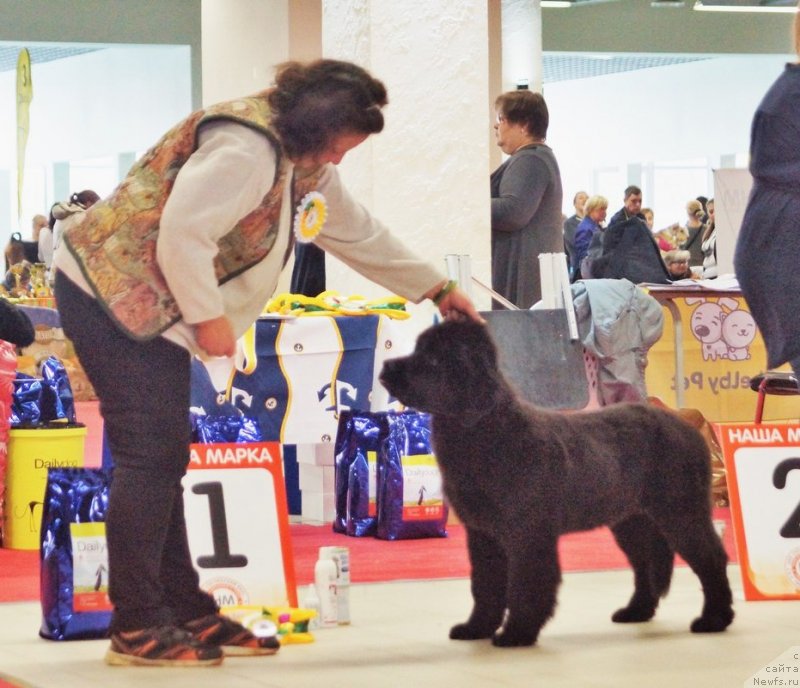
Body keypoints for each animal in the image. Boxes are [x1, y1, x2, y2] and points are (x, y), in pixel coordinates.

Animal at [378, 320, 736, 648]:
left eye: (432, 359)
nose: (386, 367)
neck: (488, 432)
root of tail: (690, 429)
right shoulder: (483, 535)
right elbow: (485, 585)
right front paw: (476, 628)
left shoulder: (528, 533)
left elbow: (526, 585)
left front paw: (517, 633)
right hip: (631, 521)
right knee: (645, 563)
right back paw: (636, 612)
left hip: (681, 512)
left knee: (711, 558)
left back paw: (714, 619)